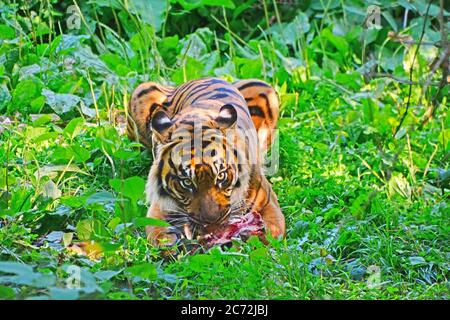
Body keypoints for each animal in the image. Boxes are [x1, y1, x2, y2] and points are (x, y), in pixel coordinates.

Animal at [126, 77, 284, 245]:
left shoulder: (270, 206)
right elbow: (159, 235)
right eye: (186, 182)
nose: (212, 224)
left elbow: (269, 237)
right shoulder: (158, 209)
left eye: (221, 176)